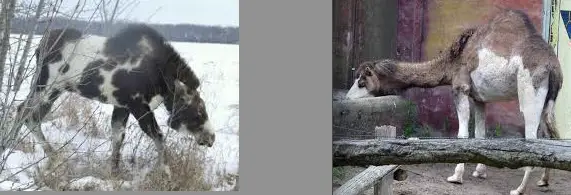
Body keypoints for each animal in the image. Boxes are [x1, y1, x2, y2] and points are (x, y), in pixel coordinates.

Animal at [346, 8, 564, 193]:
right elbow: (480, 135)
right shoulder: (480, 98)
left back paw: (518, 189)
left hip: (530, 91)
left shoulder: (461, 88)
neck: (452, 61)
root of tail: (553, 66)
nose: (347, 97)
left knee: (533, 137)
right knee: (550, 134)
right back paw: (543, 181)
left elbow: (462, 135)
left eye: (361, 81)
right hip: (548, 101)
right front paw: (479, 172)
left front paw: (456, 177)